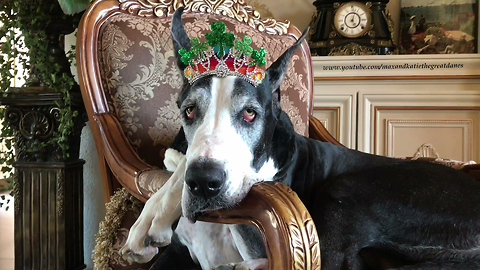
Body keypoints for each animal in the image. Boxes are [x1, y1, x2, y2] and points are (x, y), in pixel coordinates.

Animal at [119, 7, 480, 268]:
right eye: (190, 110)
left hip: (347, 192)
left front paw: (153, 218)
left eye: (250, 113)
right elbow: (178, 163)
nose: (205, 183)